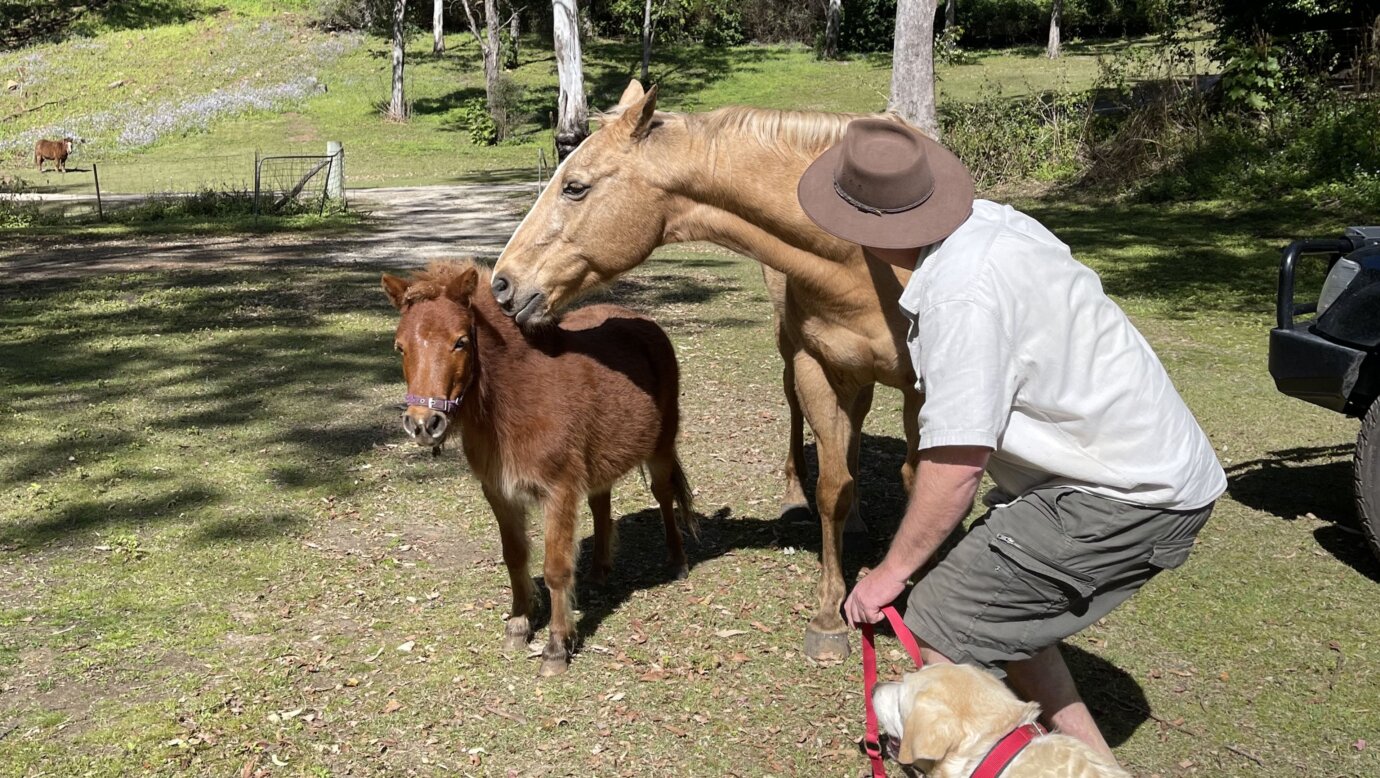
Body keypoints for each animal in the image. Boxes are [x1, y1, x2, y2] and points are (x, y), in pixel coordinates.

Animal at [383, 259, 695, 675]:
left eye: (461, 341)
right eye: (400, 346)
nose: (423, 424)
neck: (515, 400)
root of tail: (644, 323)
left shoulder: (558, 492)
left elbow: (556, 568)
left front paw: (557, 647)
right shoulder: (500, 493)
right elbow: (514, 556)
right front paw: (519, 626)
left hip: (661, 449)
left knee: (664, 496)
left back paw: (677, 562)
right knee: (601, 504)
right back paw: (598, 572)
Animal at [491, 80, 921, 662]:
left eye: (575, 187)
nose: (501, 283)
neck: (863, 257)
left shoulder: (931, 386)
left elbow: (917, 482)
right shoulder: (815, 366)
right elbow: (833, 487)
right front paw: (830, 617)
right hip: (800, 356)